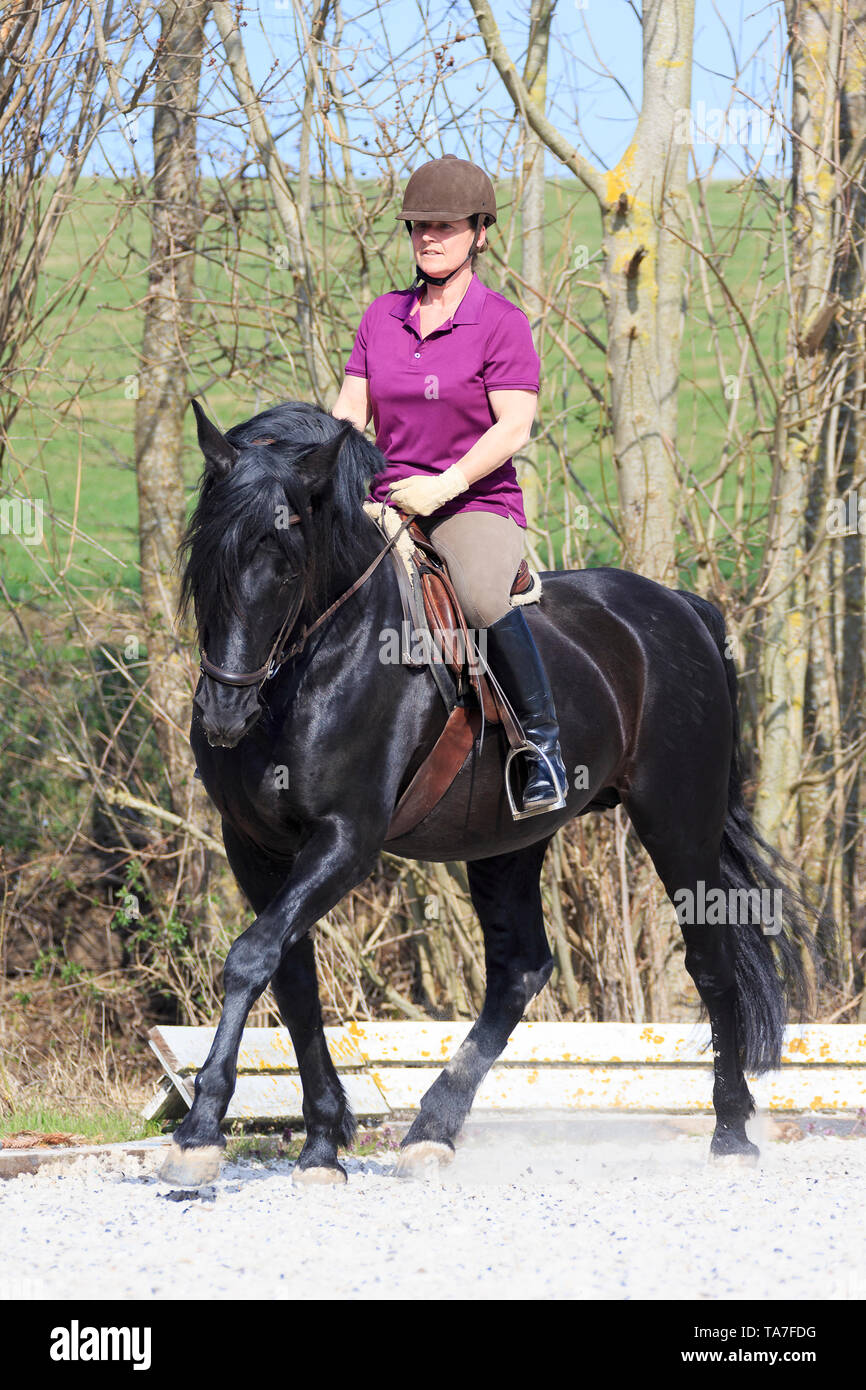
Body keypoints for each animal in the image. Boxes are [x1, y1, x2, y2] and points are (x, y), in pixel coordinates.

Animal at [160, 396, 816, 1186]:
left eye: (287, 566)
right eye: (206, 559)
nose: (224, 714)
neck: (318, 661)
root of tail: (682, 608)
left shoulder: (346, 839)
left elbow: (252, 958)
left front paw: (200, 1130)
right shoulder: (255, 846)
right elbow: (292, 979)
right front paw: (321, 1141)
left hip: (677, 821)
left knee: (710, 963)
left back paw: (730, 1133)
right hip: (507, 838)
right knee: (519, 970)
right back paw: (432, 1130)